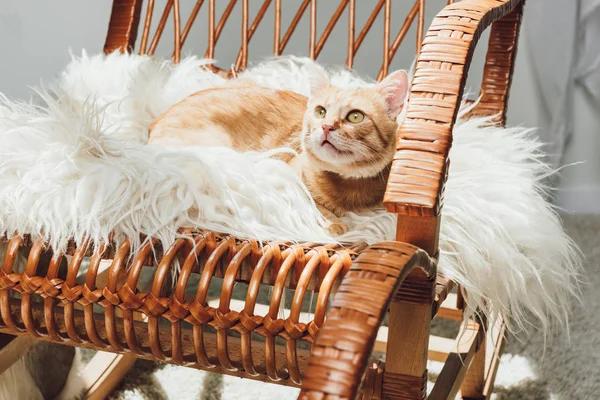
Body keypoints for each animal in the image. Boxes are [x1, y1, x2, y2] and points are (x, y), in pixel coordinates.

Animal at [149, 67, 410, 236]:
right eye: (321, 112)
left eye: (355, 116)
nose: (326, 127)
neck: (348, 190)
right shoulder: (285, 180)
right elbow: (313, 205)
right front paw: (332, 223)